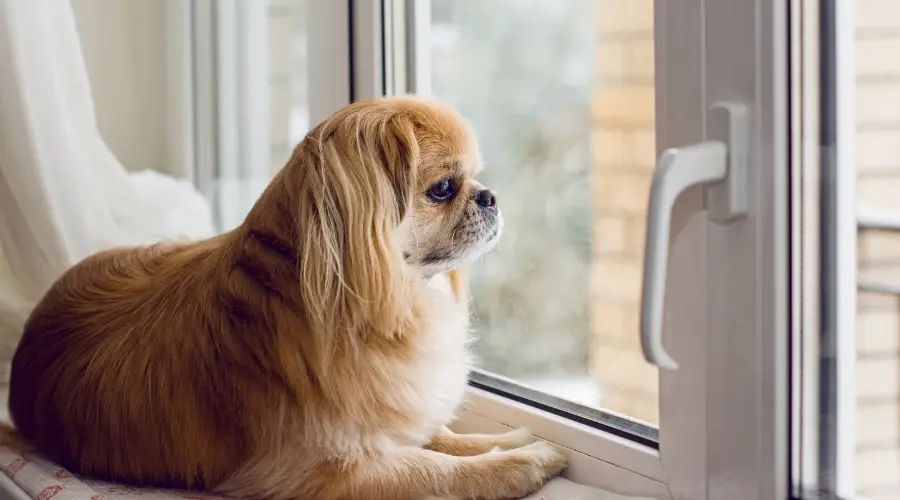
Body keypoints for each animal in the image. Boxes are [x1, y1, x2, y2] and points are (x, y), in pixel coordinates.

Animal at [3, 96, 568, 500]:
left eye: (474, 179)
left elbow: (442, 437)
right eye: (444, 188)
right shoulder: (322, 471)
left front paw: (509, 442)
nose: (489, 195)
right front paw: (524, 463)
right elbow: (435, 470)